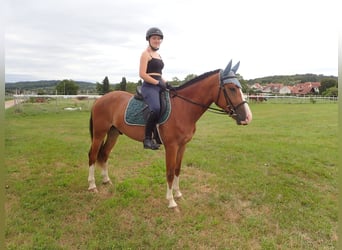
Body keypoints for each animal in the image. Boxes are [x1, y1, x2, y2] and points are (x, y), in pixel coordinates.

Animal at [87, 60, 252, 209]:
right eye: (232, 88)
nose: (247, 117)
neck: (183, 108)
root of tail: (100, 99)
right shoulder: (171, 146)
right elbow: (170, 172)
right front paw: (171, 201)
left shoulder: (182, 146)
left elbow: (178, 169)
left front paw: (178, 194)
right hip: (99, 133)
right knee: (93, 155)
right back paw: (92, 186)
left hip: (113, 132)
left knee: (104, 154)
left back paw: (106, 181)